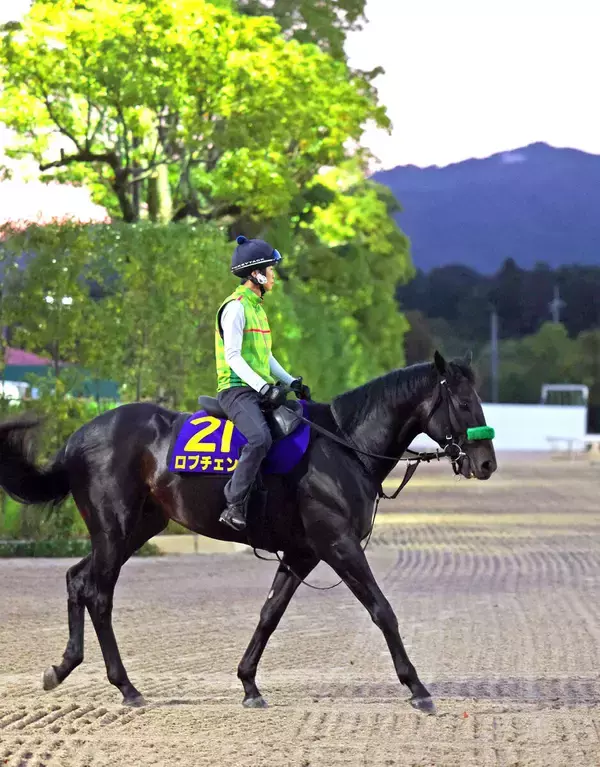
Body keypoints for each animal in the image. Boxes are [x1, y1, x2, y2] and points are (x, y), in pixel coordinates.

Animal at [0, 351, 496, 714]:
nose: (487, 463)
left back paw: (63, 667)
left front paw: (249, 684)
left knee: (78, 580)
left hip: (134, 530)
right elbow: (382, 610)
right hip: (115, 528)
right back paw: (126, 687)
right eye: (465, 403)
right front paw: (417, 687)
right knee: (98, 594)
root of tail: (78, 437)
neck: (344, 445)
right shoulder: (337, 544)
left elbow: (269, 614)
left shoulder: (301, 554)